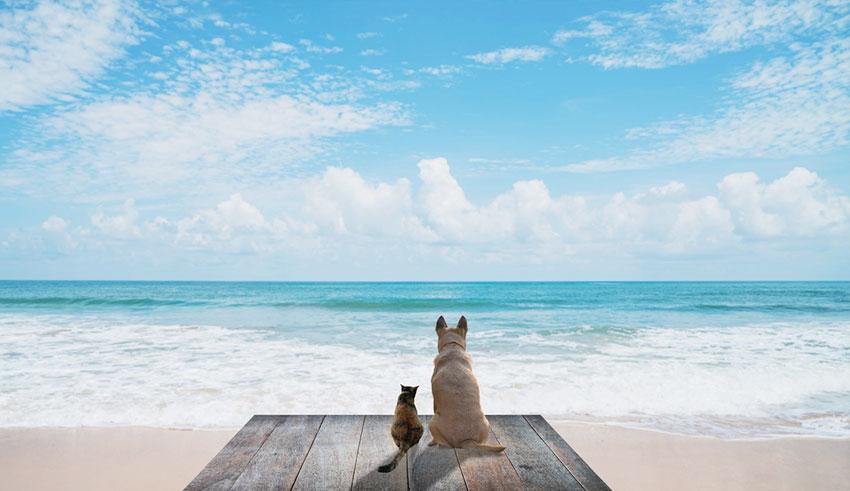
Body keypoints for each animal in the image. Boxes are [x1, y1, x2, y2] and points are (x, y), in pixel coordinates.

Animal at [428, 318, 500, 452]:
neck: (452, 346)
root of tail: (468, 441)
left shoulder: (435, 401)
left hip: (432, 421)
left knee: (444, 443)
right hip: (487, 423)